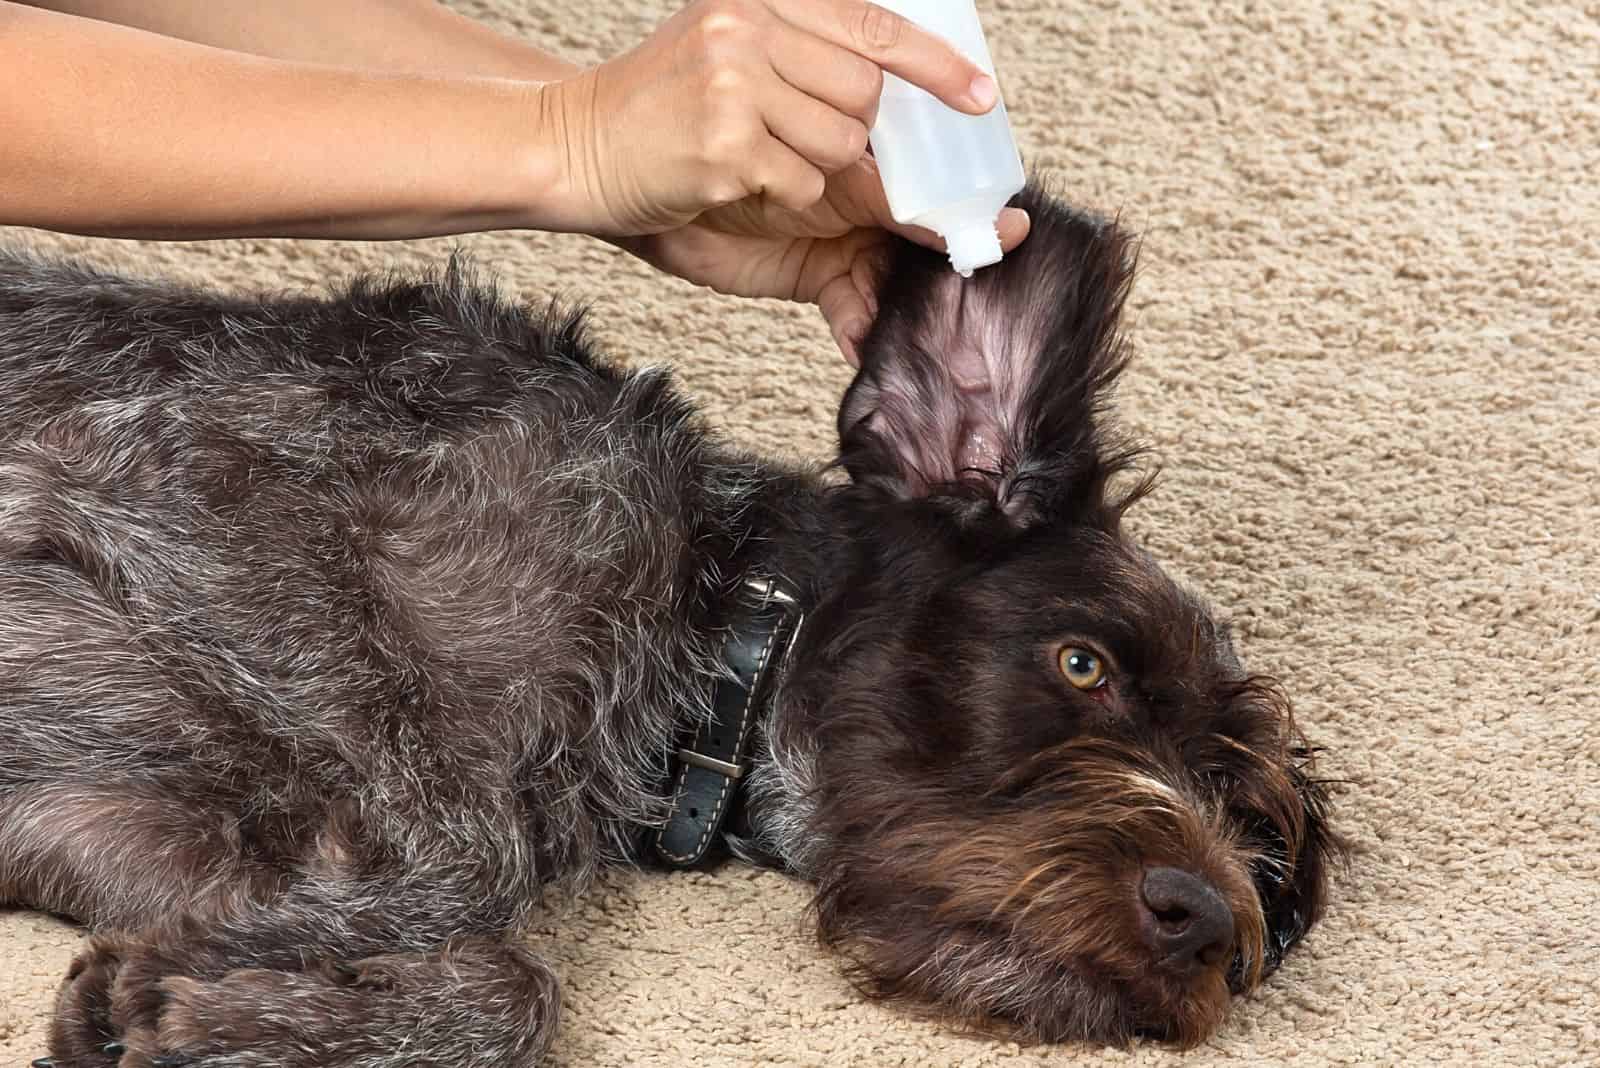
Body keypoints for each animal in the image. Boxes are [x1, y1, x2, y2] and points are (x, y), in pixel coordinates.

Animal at [0, 181, 1331, 1061]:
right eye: (1082, 661)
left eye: (1262, 850)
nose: (1209, 923)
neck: (707, 607)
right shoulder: (203, 492)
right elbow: (477, 864)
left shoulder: (97, 832)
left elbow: (511, 982)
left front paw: (220, 998)